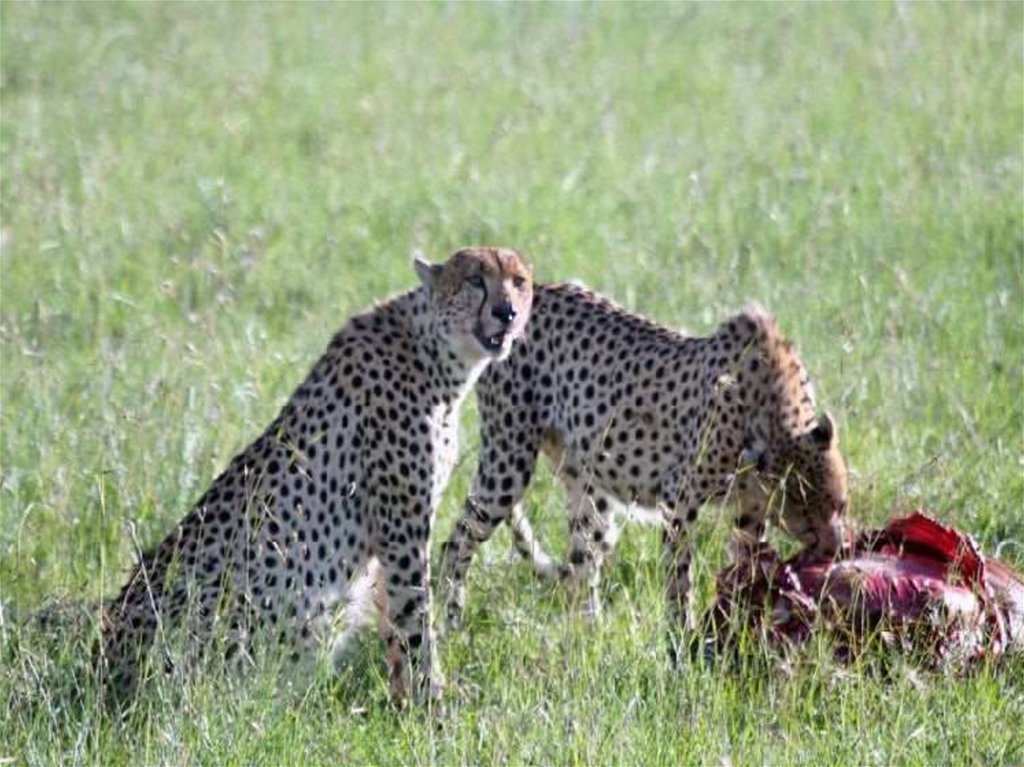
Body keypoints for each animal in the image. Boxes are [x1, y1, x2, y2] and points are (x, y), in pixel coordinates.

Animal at [100, 248, 536, 704]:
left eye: (519, 281)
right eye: (474, 280)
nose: (506, 313)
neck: (433, 349)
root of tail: (100, 667)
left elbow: (395, 620)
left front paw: (404, 700)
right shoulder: (401, 527)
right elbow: (415, 613)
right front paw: (431, 700)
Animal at [440, 282, 847, 647]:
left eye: (840, 505)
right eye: (805, 515)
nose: (836, 549)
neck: (776, 412)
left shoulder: (750, 511)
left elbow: (747, 569)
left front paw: (742, 628)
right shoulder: (679, 499)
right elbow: (680, 578)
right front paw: (682, 643)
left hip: (590, 491)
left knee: (581, 564)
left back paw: (591, 637)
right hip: (508, 463)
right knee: (458, 540)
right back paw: (450, 622)